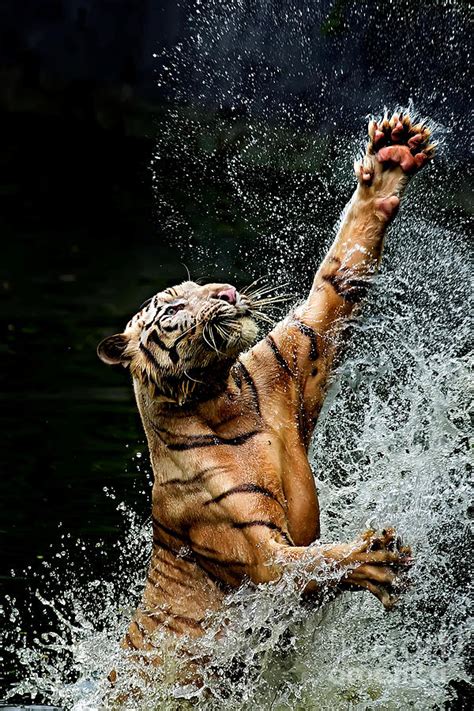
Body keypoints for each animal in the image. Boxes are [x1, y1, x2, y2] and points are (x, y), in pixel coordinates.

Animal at [97, 108, 436, 660]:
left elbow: (337, 273)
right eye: (174, 307)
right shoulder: (259, 554)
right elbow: (309, 562)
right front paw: (373, 558)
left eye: (199, 286)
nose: (227, 291)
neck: (221, 396)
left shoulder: (296, 352)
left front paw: (391, 158)